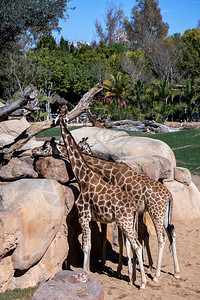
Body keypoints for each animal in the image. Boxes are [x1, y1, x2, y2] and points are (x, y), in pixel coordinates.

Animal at [57, 115, 147, 288]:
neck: (83, 177)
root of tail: (133, 207)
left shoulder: (84, 215)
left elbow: (86, 245)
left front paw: (85, 273)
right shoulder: (94, 218)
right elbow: (93, 244)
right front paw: (90, 270)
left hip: (124, 222)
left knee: (137, 245)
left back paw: (142, 282)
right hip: (129, 222)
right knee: (135, 243)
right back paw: (132, 278)